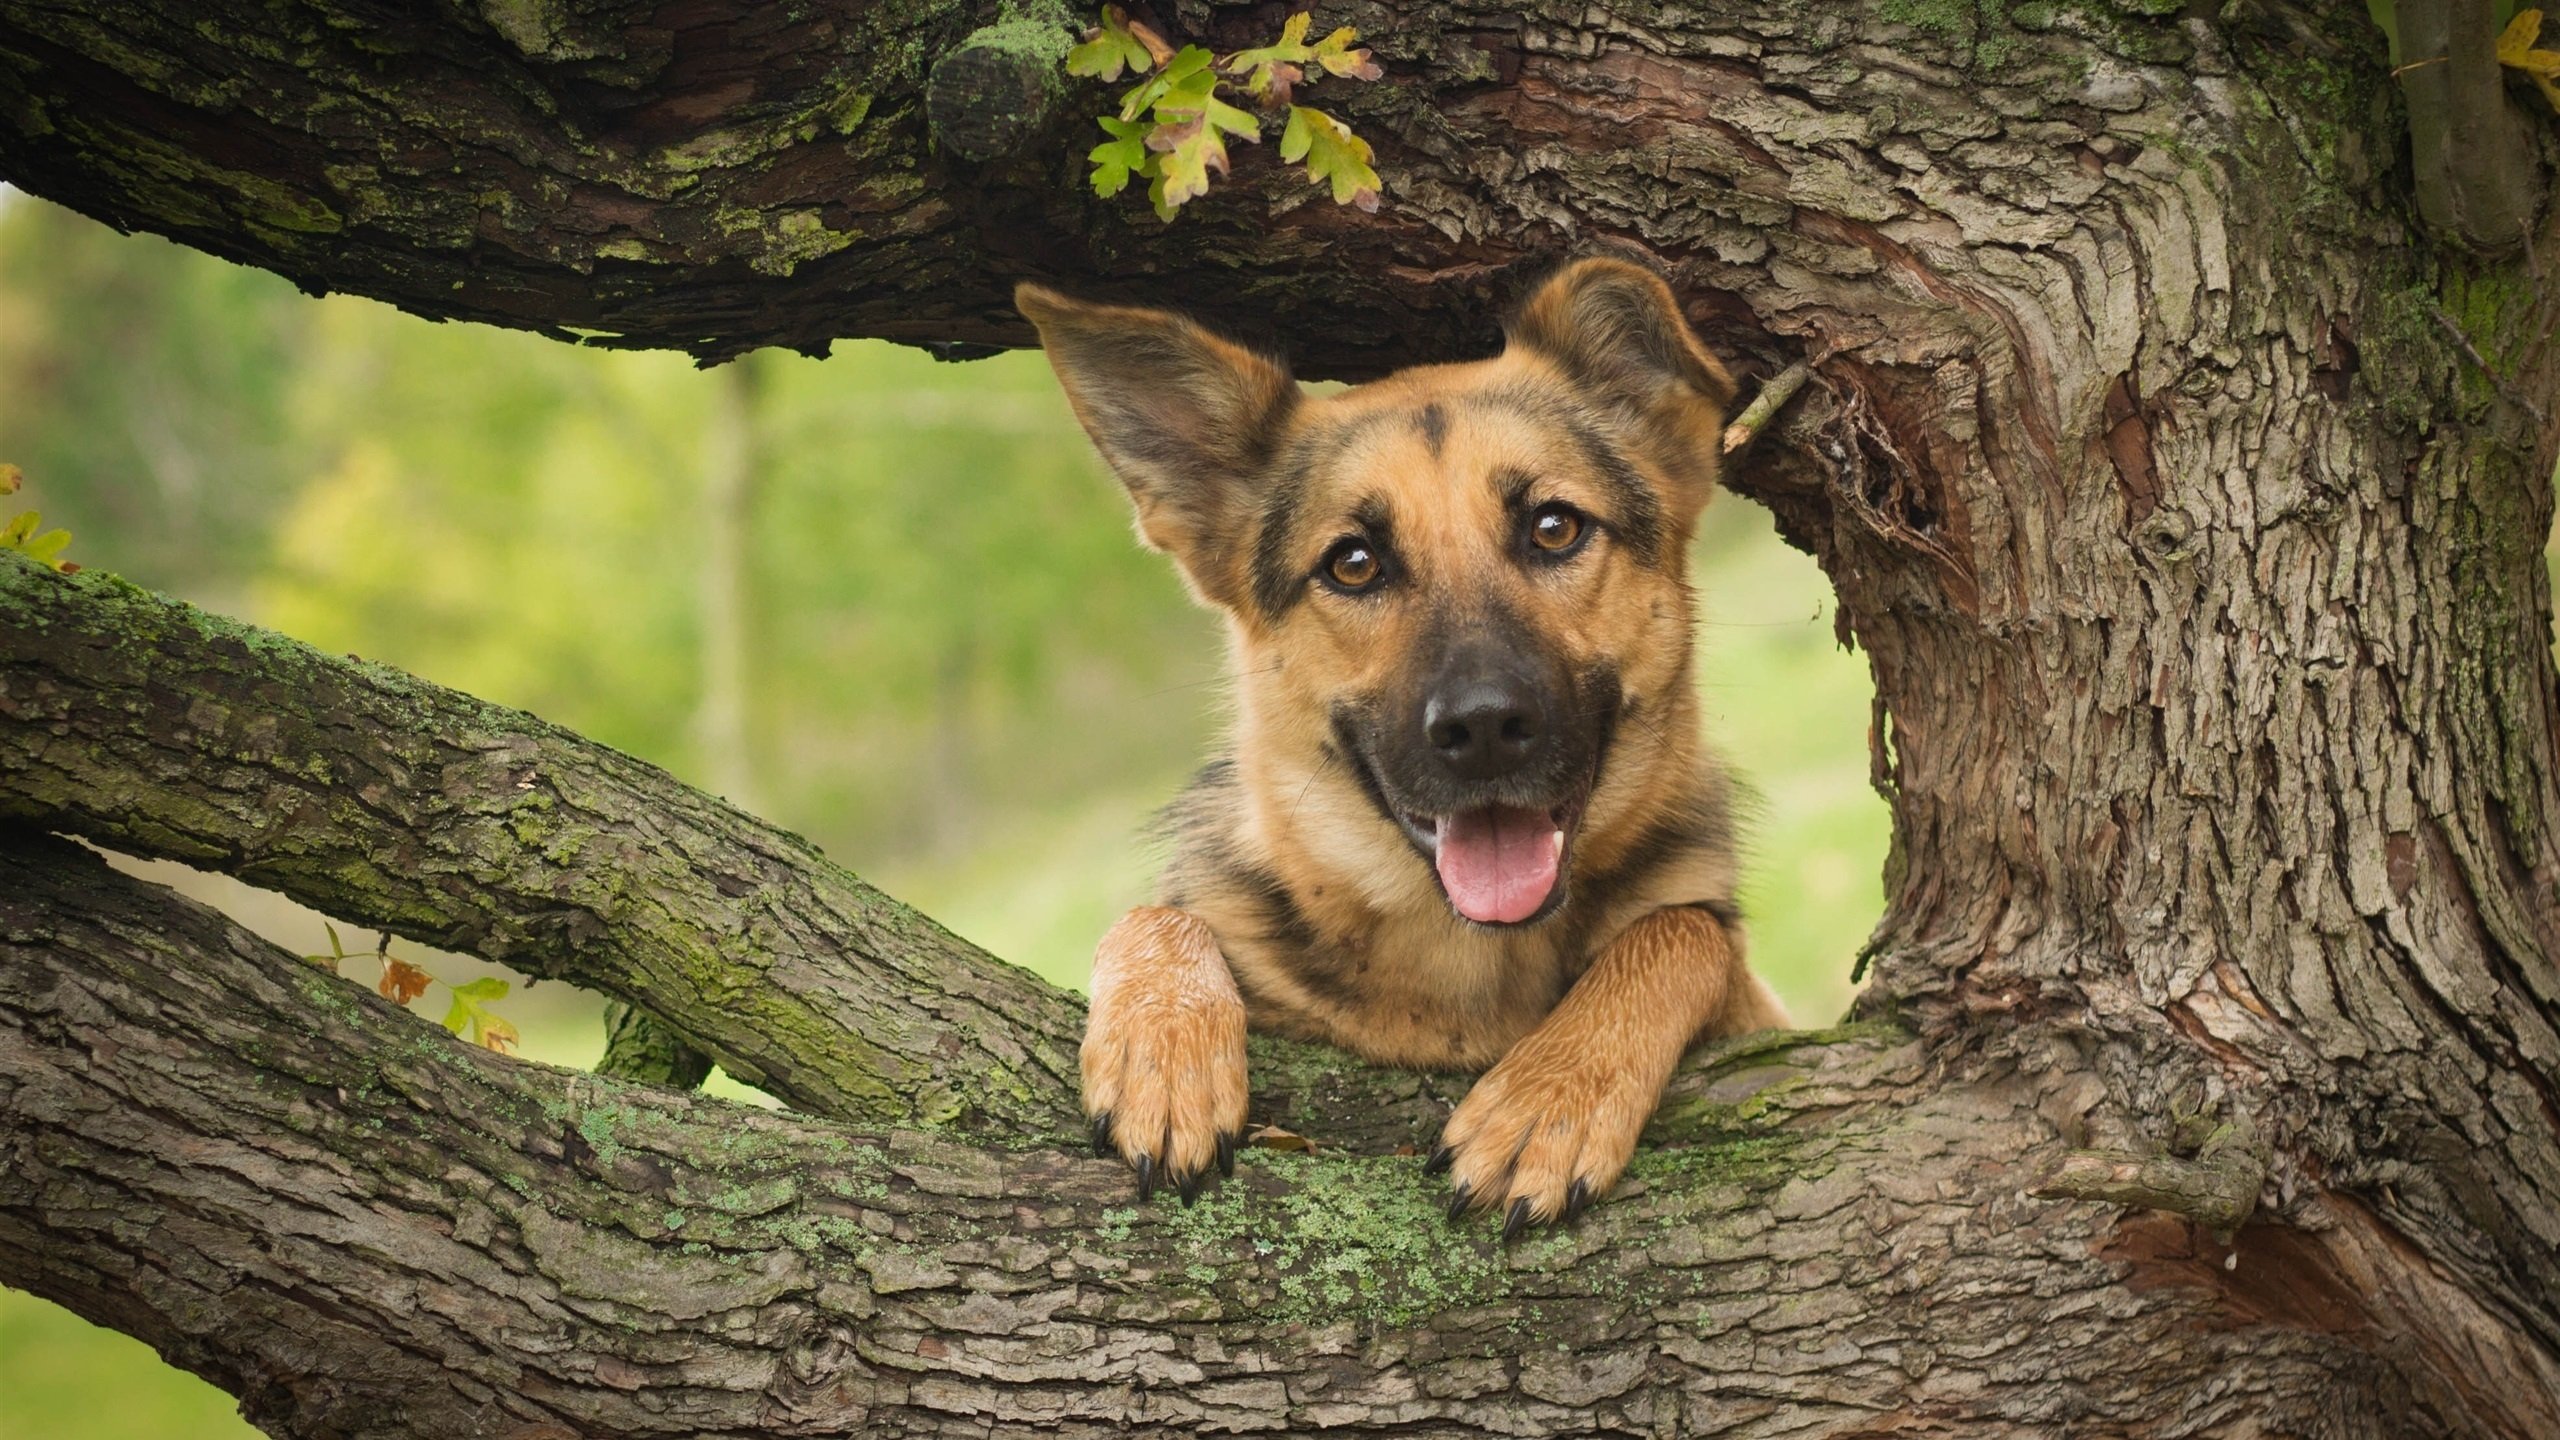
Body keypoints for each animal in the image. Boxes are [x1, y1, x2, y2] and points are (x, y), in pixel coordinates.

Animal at [1013, 260, 1781, 1235]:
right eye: (1353, 563)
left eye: (1555, 527)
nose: (1483, 728)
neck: (1467, 961)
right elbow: (1157, 912)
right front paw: (1166, 1050)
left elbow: (1684, 930)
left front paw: (1551, 1097)